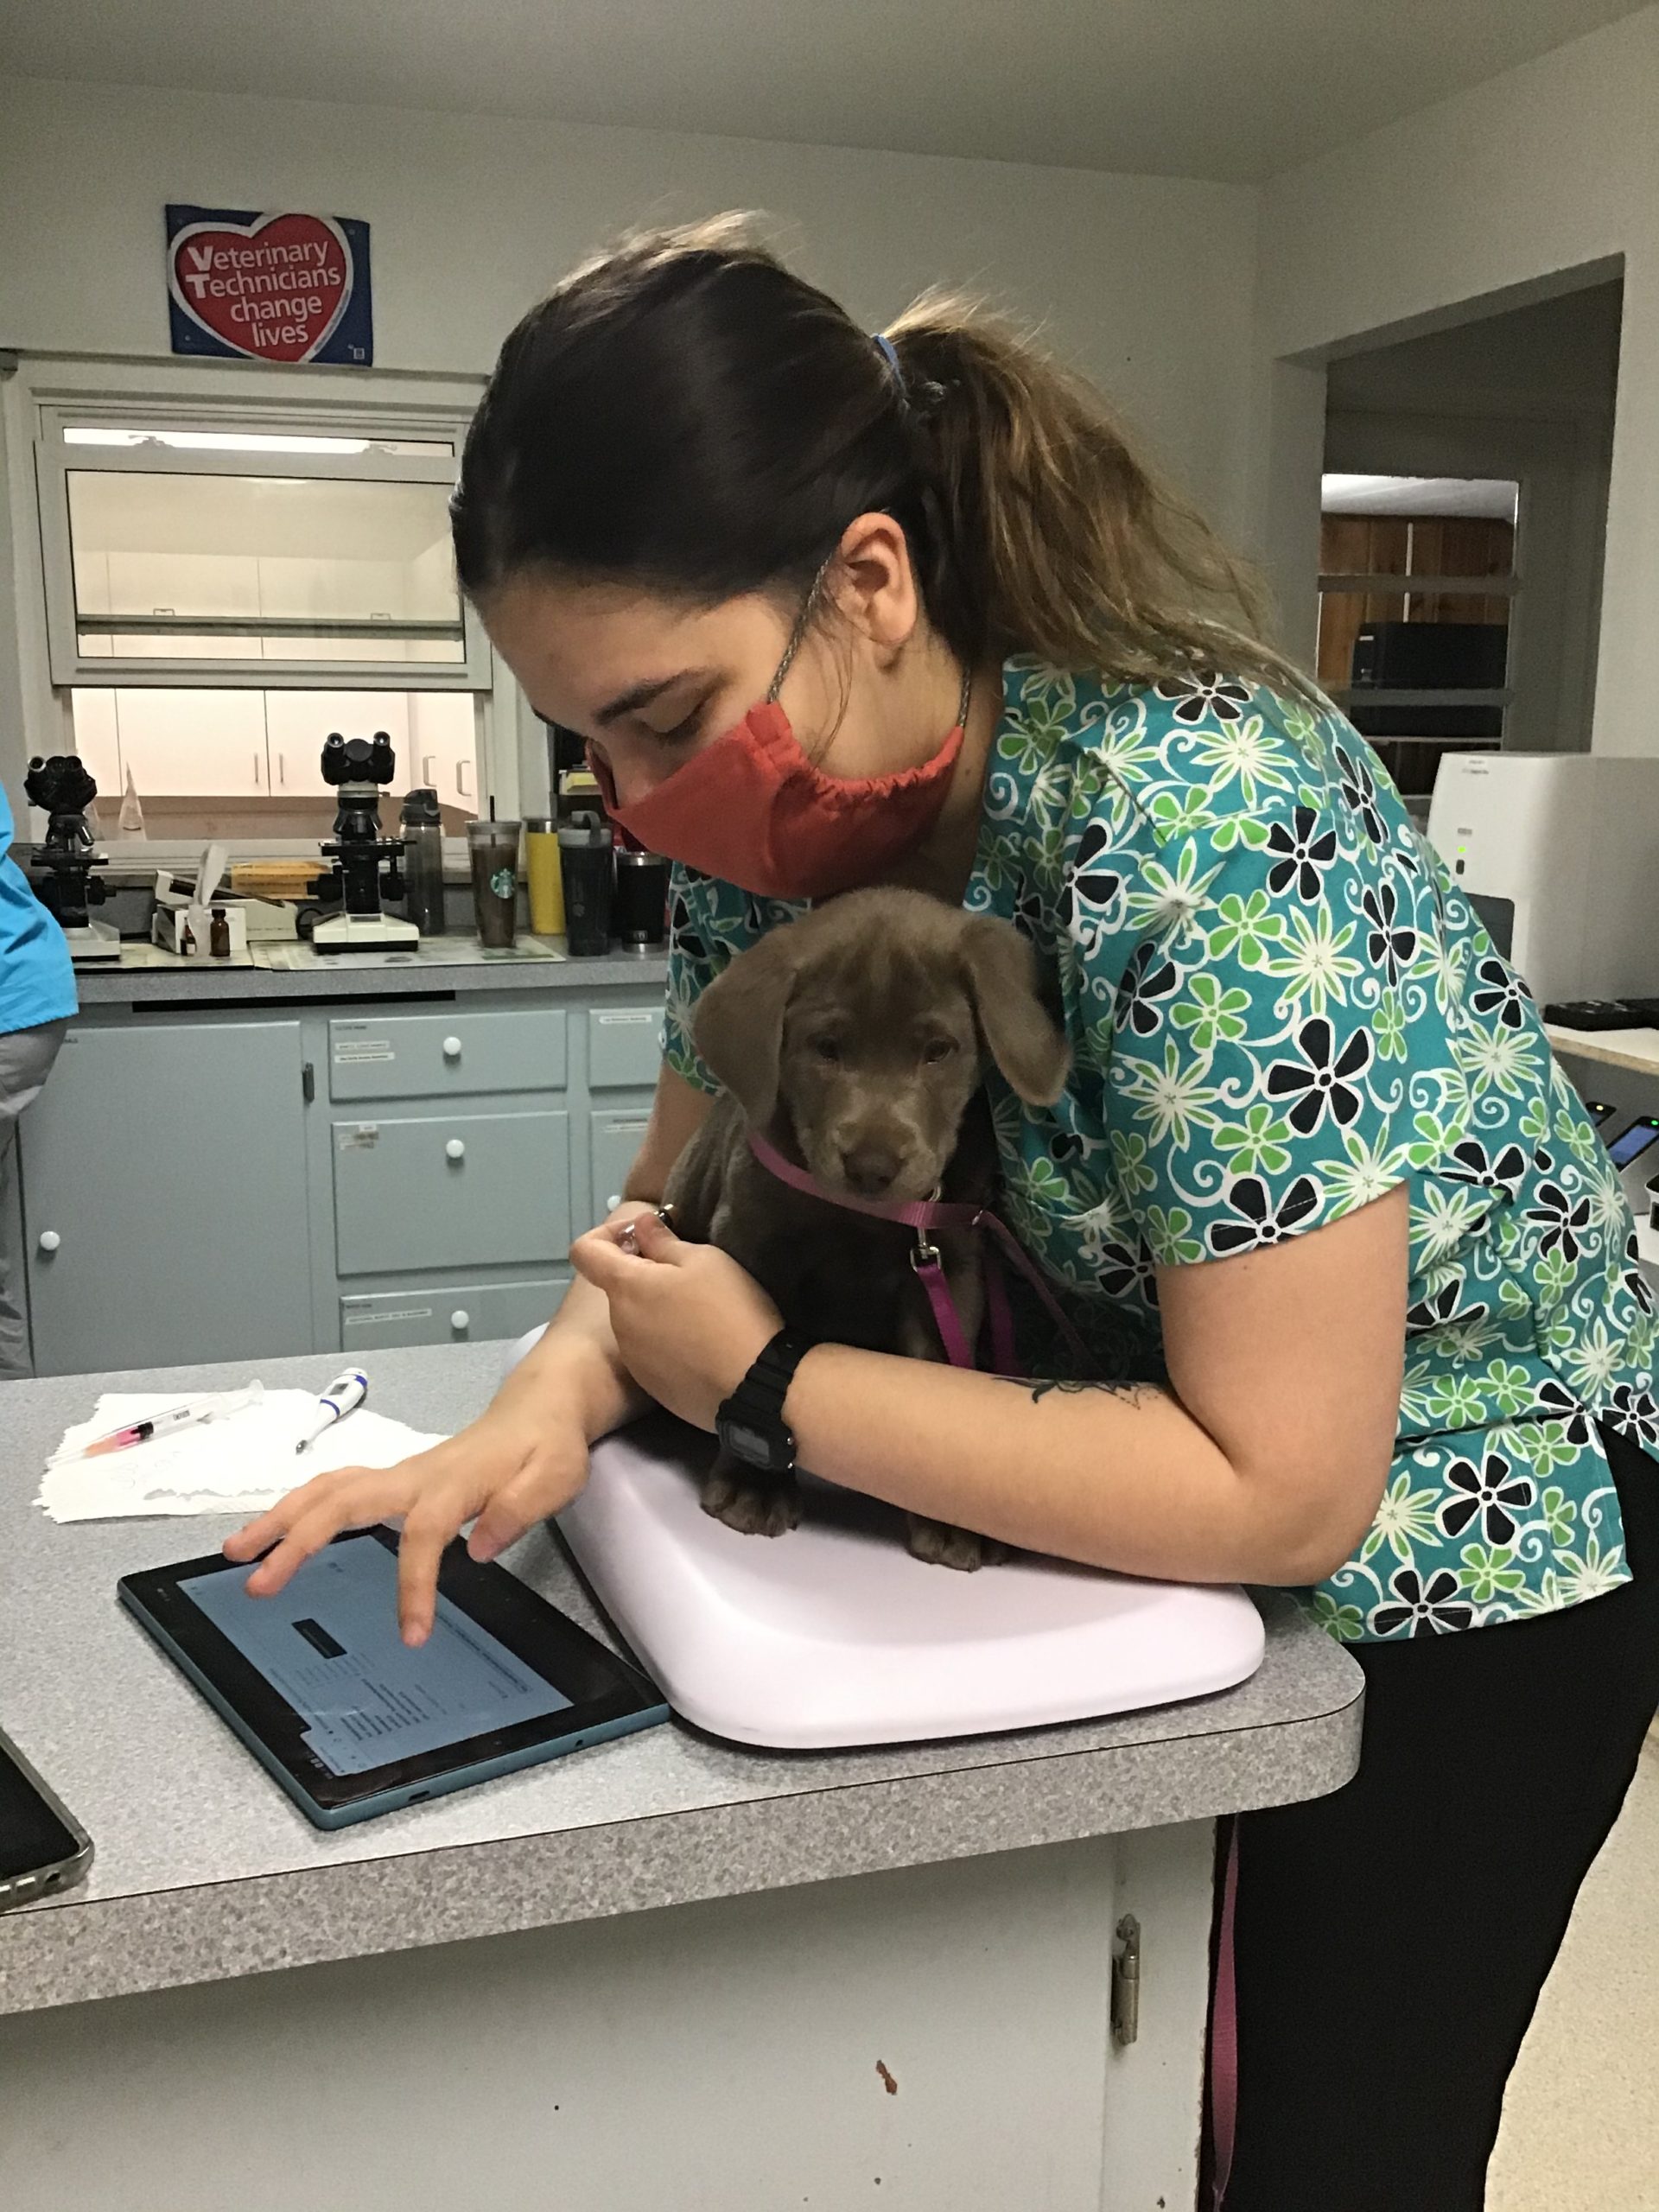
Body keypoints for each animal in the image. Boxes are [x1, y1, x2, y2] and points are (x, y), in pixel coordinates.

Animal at [668, 885, 1071, 1574]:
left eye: (939, 1050)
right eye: (826, 1048)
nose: (872, 1167)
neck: (862, 1220)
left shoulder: (949, 1267)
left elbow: (937, 1381)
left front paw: (948, 1515)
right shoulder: (750, 1241)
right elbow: (756, 1357)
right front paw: (754, 1484)